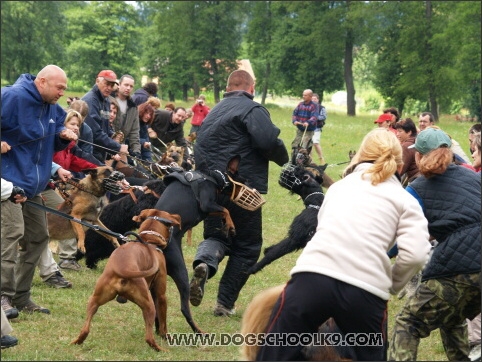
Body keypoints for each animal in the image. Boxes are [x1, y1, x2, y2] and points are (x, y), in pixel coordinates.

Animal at [71, 208, 183, 352]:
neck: (149, 240)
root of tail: (123, 269)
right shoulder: (161, 295)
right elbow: (163, 323)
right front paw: (165, 337)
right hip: (149, 306)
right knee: (149, 338)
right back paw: (161, 349)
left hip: (94, 300)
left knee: (85, 330)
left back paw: (76, 342)